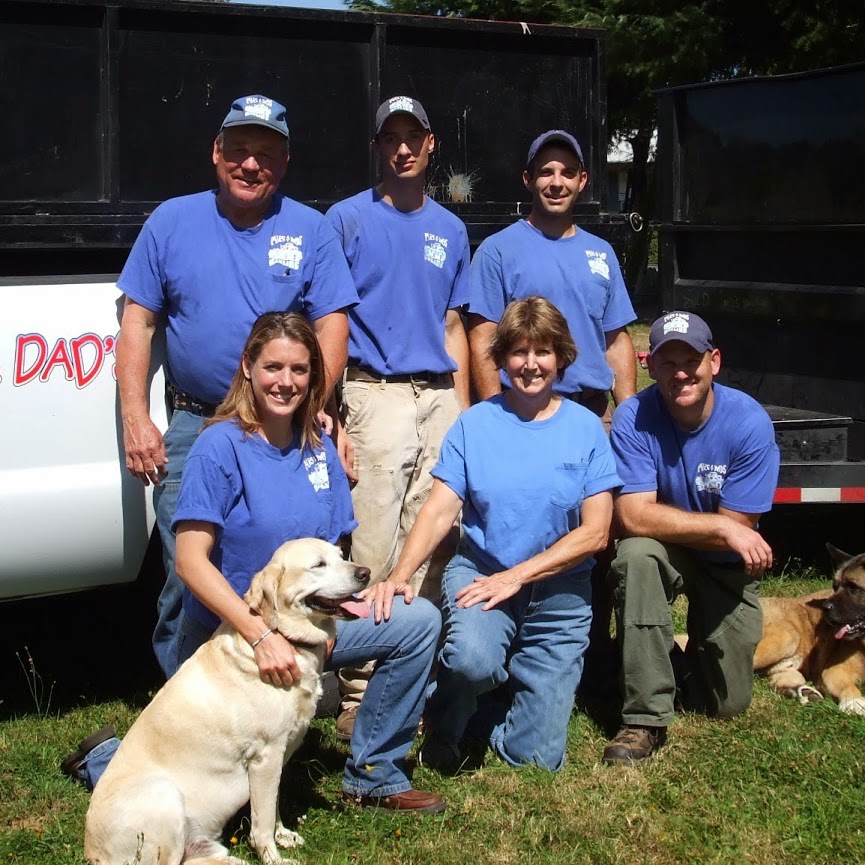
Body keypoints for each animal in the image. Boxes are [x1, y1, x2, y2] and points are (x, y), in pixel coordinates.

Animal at [86, 540, 370, 864]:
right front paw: (272, 857)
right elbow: (262, 821)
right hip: (163, 794)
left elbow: (272, 807)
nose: (365, 573)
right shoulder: (265, 756)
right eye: (318, 564)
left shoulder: (278, 757)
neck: (284, 637)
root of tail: (91, 851)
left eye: (341, 556)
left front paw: (283, 835)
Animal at [752, 540, 864, 716]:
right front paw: (854, 701)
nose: (825, 608)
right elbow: (845, 686)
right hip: (786, 637)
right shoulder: (833, 671)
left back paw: (802, 692)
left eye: (853, 587)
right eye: (835, 586)